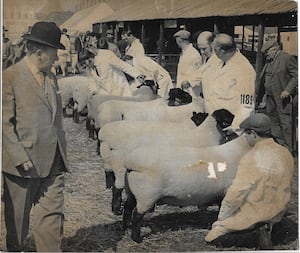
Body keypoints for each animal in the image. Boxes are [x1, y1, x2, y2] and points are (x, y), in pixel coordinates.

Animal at [123, 134, 252, 243]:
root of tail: (130, 163)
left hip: (132, 192)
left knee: (128, 207)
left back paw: (126, 226)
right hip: (146, 195)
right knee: (137, 215)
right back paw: (136, 238)